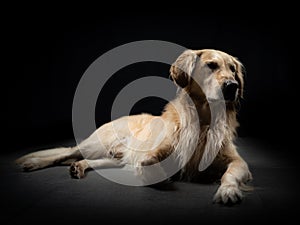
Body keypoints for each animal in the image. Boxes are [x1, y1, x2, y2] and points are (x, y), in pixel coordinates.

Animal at [15, 48, 252, 204]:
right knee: (66, 152)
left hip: (114, 157)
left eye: (233, 69)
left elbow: (230, 173)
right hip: (98, 143)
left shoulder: (238, 162)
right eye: (211, 65)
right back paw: (33, 162)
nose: (232, 86)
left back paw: (78, 167)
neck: (204, 121)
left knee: (89, 161)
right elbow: (151, 162)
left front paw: (227, 190)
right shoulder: (159, 149)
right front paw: (156, 172)